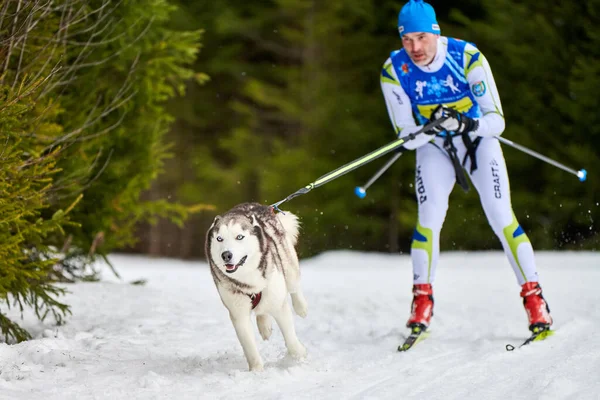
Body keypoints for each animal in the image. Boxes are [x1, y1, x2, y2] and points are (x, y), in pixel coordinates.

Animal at [206, 203, 310, 372]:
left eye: (239, 237)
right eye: (219, 238)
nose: (226, 255)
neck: (248, 281)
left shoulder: (278, 302)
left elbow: (289, 335)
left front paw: (299, 356)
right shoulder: (239, 313)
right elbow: (249, 347)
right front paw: (256, 371)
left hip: (288, 265)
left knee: (294, 285)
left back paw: (301, 307)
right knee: (262, 310)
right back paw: (264, 326)